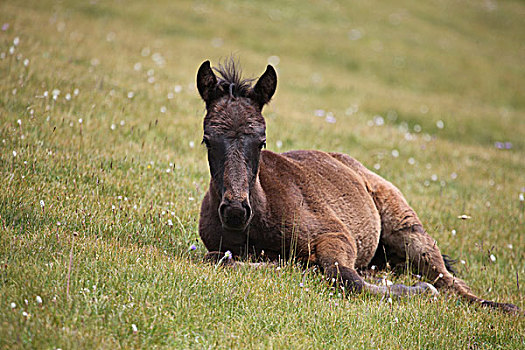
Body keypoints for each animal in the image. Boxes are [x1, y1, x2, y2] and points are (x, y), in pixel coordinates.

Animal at [195, 58, 520, 314]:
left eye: (261, 141)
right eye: (208, 140)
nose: (235, 210)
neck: (260, 214)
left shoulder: (336, 233)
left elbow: (347, 279)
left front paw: (420, 290)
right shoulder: (225, 248)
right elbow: (219, 259)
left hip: (406, 228)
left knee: (449, 280)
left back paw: (502, 306)